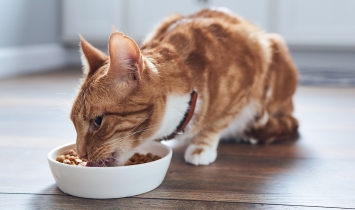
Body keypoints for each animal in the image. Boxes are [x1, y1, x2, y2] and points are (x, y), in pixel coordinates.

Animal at [71, 7, 298, 166]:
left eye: (98, 121)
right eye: (73, 123)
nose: (80, 153)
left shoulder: (253, 67)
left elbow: (217, 122)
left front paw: (201, 147)